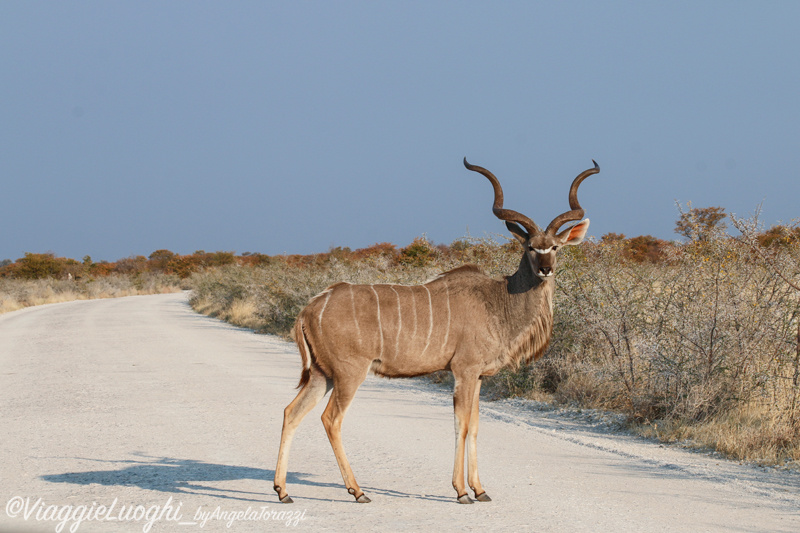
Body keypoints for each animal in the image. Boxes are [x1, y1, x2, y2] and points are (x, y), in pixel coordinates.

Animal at [276, 157, 600, 502]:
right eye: (530, 248)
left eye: (555, 247)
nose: (545, 269)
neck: (499, 300)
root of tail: (309, 308)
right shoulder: (464, 371)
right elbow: (462, 425)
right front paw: (461, 492)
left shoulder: (478, 376)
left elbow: (476, 425)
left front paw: (480, 490)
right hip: (349, 373)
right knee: (331, 419)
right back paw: (357, 490)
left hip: (322, 374)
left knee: (291, 412)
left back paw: (282, 490)